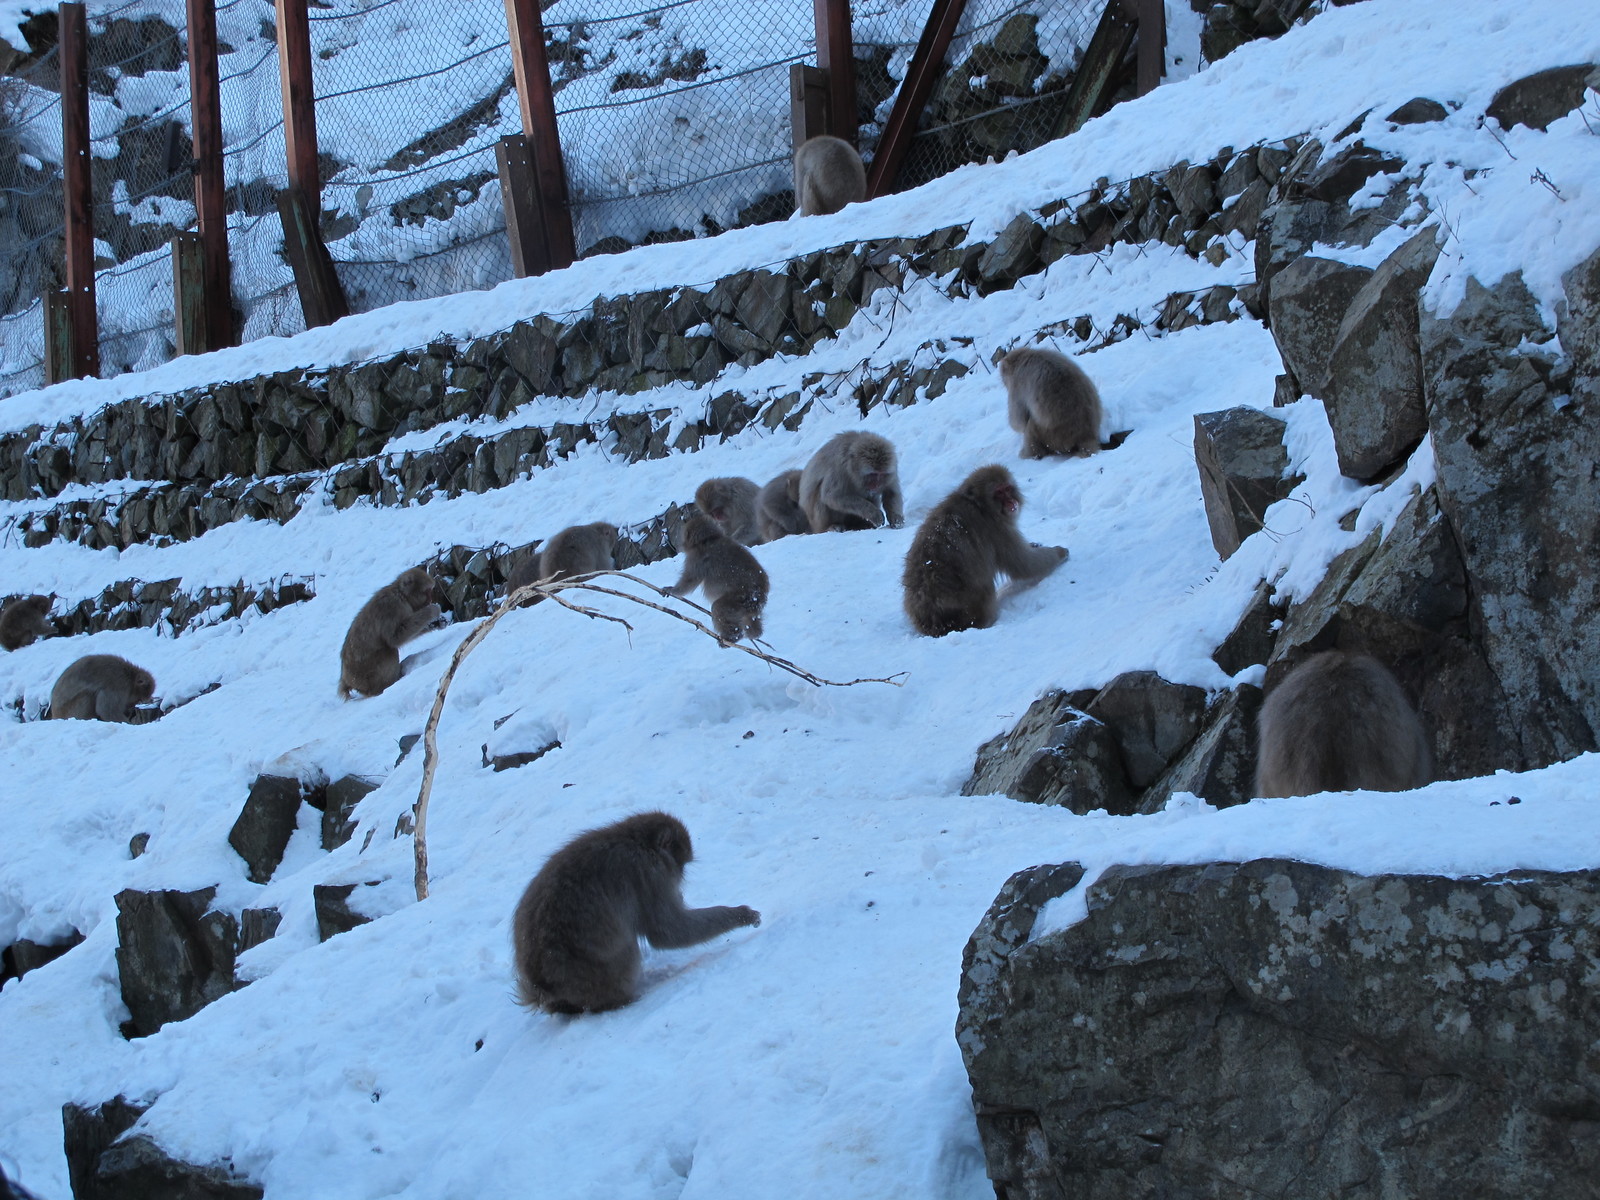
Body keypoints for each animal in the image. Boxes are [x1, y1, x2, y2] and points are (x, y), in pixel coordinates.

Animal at [334, 569, 441, 700]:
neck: (402, 596)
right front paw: (432, 611)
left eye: (431, 590)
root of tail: (346, 680)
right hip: (367, 677)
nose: (431, 599)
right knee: (389, 650)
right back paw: (391, 683)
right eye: (427, 591)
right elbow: (395, 638)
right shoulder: (391, 607)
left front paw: (436, 625)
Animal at [512, 812, 761, 1017]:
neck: (635, 840)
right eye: (681, 863)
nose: (679, 877)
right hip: (598, 978)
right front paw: (741, 915)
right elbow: (668, 931)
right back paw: (624, 999)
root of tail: (543, 988)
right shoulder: (649, 873)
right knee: (628, 947)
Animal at [665, 518, 771, 649]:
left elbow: (689, 580)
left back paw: (733, 637)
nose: (681, 544)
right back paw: (754, 634)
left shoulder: (697, 560)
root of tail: (761, 595)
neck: (710, 538)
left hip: (740, 599)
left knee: (718, 608)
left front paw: (672, 590)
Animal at [908, 467, 1068, 643]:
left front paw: (1035, 545)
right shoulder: (996, 529)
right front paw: (1060, 553)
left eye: (1008, 489)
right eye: (999, 492)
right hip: (970, 608)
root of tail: (933, 623)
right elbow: (1023, 564)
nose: (1011, 502)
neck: (980, 506)